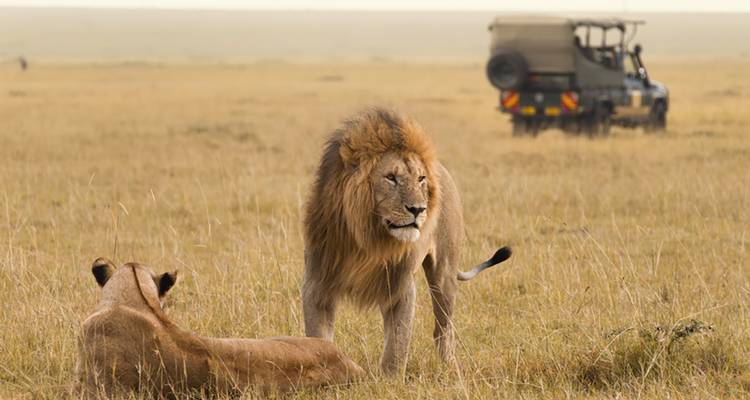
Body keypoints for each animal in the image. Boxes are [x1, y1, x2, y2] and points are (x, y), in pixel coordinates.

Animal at [302, 108, 512, 374]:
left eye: (420, 179)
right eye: (391, 177)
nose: (418, 209)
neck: (368, 239)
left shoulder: (401, 286)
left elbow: (397, 343)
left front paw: (389, 379)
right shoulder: (317, 283)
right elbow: (317, 337)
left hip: (444, 274)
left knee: (443, 328)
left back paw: (450, 366)